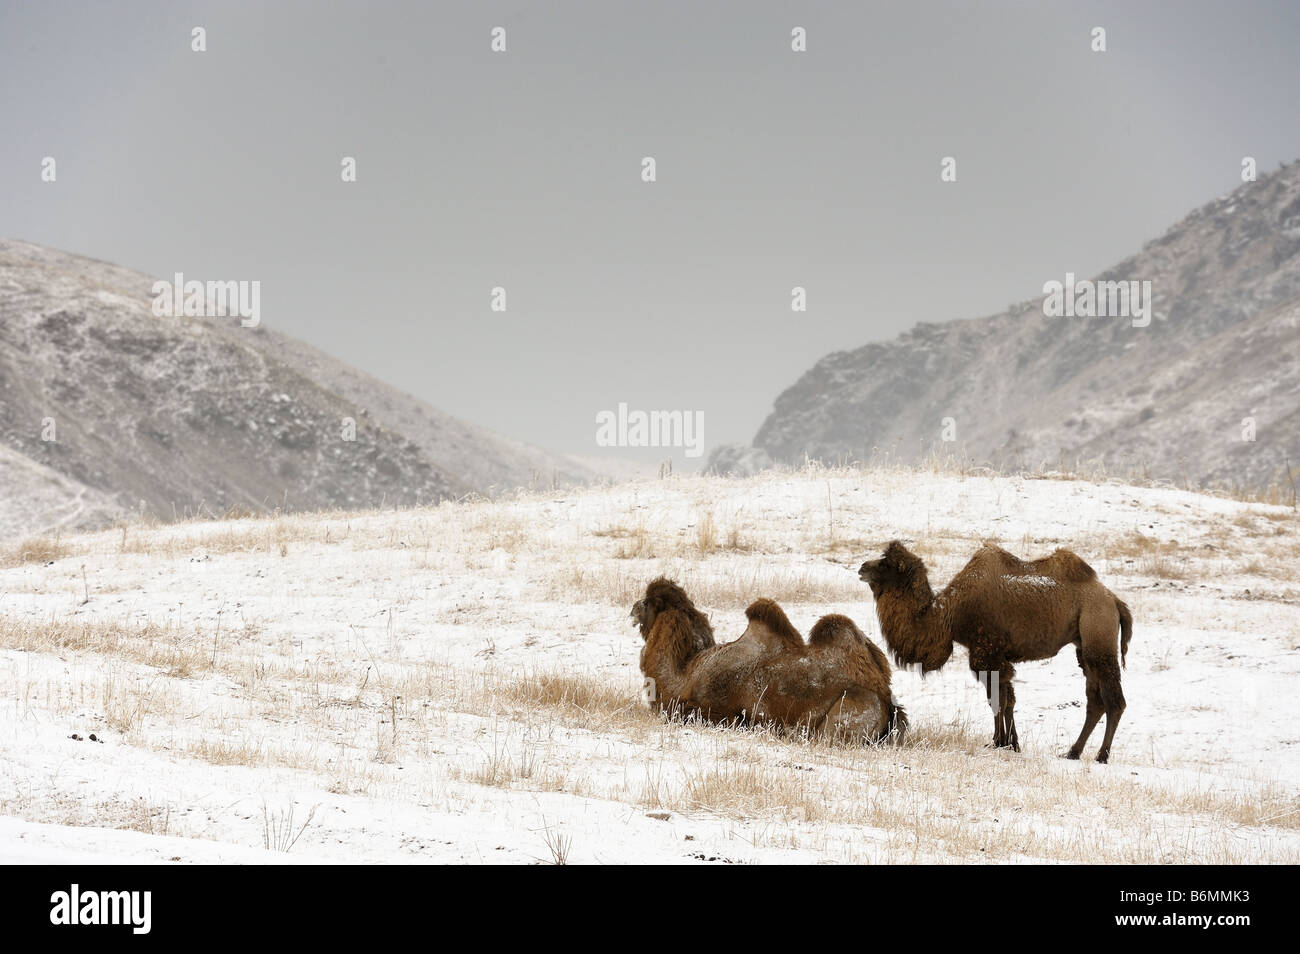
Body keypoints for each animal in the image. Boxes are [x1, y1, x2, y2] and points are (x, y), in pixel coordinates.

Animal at [632, 577, 906, 743]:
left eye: (645, 602)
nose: (633, 608)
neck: (685, 675)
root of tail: (887, 702)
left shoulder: (713, 709)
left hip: (850, 710)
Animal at [858, 541, 1133, 763]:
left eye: (886, 564)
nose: (861, 567)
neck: (950, 614)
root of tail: (1114, 601)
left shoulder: (986, 652)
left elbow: (1000, 699)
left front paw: (1004, 742)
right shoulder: (995, 656)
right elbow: (1003, 698)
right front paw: (1006, 742)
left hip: (1099, 638)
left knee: (1114, 701)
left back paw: (1101, 755)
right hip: (1084, 647)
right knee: (1095, 701)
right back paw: (1073, 752)